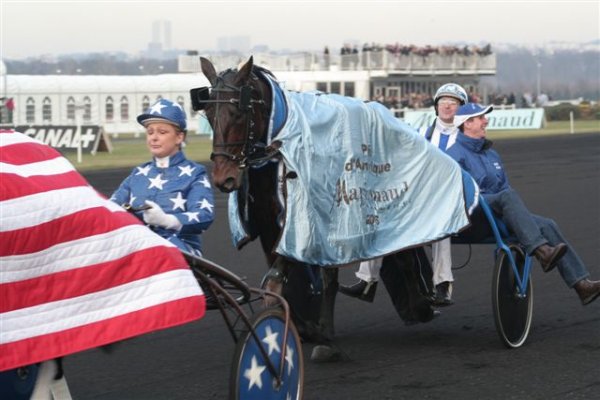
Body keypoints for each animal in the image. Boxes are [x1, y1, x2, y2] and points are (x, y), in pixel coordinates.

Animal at [197, 57, 440, 362]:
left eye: (240, 112)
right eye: (208, 112)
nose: (223, 178)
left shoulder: (301, 225)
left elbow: (276, 280)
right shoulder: (270, 228)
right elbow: (282, 282)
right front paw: (305, 329)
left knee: (400, 248)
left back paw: (417, 303)